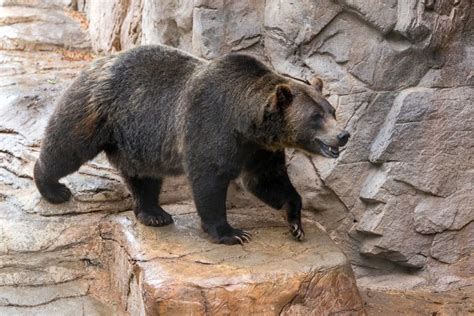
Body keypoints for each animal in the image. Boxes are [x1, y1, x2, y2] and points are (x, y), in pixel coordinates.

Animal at [33, 45, 350, 244]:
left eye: (332, 110)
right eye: (316, 117)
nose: (343, 135)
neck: (246, 123)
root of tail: (97, 60)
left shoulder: (259, 149)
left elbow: (267, 180)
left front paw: (295, 222)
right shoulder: (209, 125)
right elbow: (209, 178)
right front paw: (231, 233)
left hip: (137, 138)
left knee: (143, 175)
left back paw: (154, 213)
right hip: (98, 109)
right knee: (68, 146)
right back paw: (53, 188)